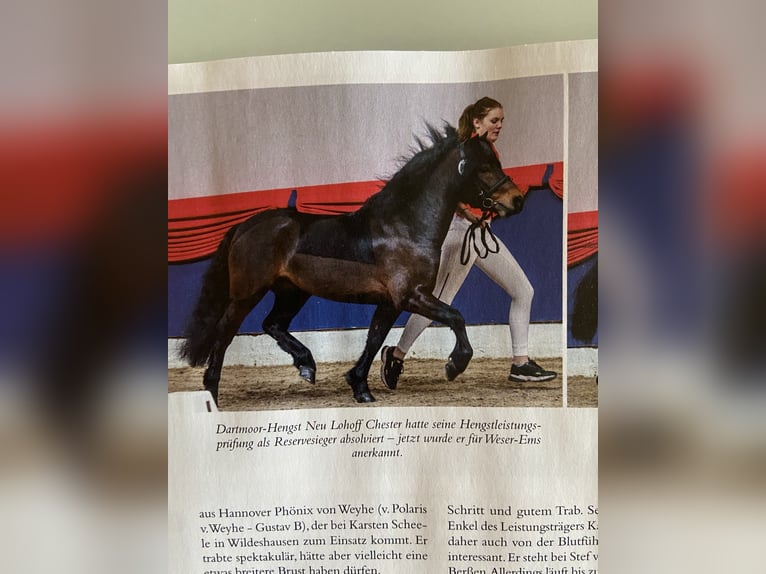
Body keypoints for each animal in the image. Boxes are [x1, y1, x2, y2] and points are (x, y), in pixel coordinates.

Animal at [179, 124, 525, 404]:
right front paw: (455, 365)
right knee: (225, 334)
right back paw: (212, 392)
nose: (517, 200)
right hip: (247, 294)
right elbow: (456, 317)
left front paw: (360, 387)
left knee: (272, 324)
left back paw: (307, 365)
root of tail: (244, 226)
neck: (403, 226)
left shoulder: (391, 302)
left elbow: (374, 339)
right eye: (484, 167)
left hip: (293, 292)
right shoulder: (411, 295)